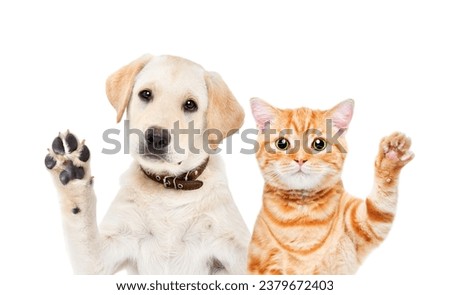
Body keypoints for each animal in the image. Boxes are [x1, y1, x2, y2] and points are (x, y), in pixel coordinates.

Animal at [44, 53, 250, 276]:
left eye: (190, 105)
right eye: (146, 94)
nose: (156, 137)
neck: (169, 188)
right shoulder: (97, 262)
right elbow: (83, 229)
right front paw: (73, 176)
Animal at [248, 99, 414, 276]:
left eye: (319, 144)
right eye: (282, 143)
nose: (300, 160)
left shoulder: (367, 222)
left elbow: (380, 204)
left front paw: (391, 157)